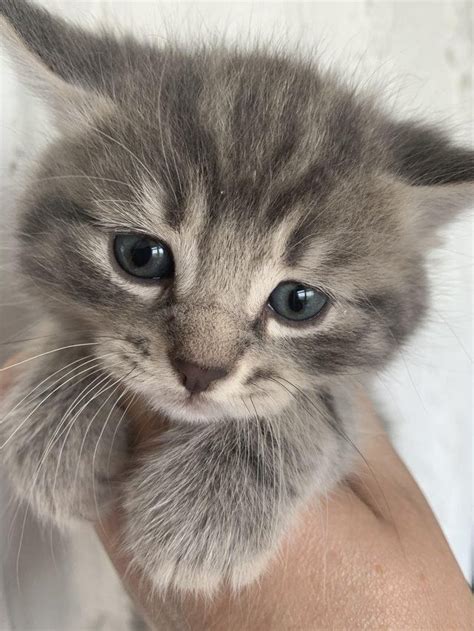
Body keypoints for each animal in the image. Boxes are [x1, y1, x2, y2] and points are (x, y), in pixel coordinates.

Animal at [0, 0, 474, 596]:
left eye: (299, 302)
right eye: (140, 256)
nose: (199, 370)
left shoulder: (367, 407)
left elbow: (317, 404)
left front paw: (205, 509)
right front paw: (55, 423)